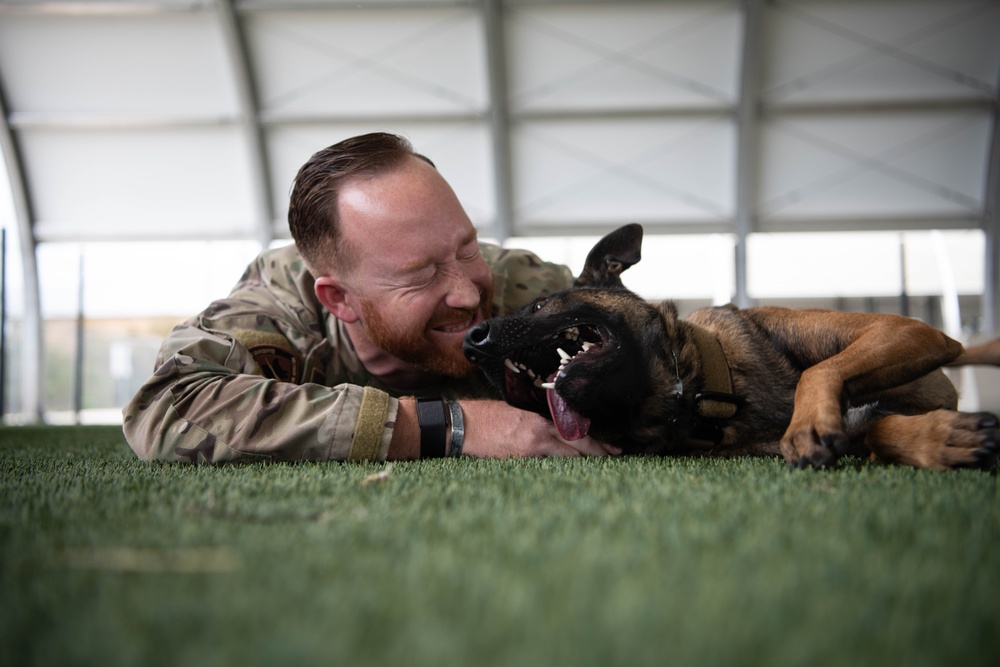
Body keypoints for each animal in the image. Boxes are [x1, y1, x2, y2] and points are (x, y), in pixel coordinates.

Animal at [462, 224, 1000, 470]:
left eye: (541, 304)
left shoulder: (910, 330)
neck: (704, 389)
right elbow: (874, 429)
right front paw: (940, 437)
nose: (470, 341)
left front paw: (810, 421)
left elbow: (819, 372)